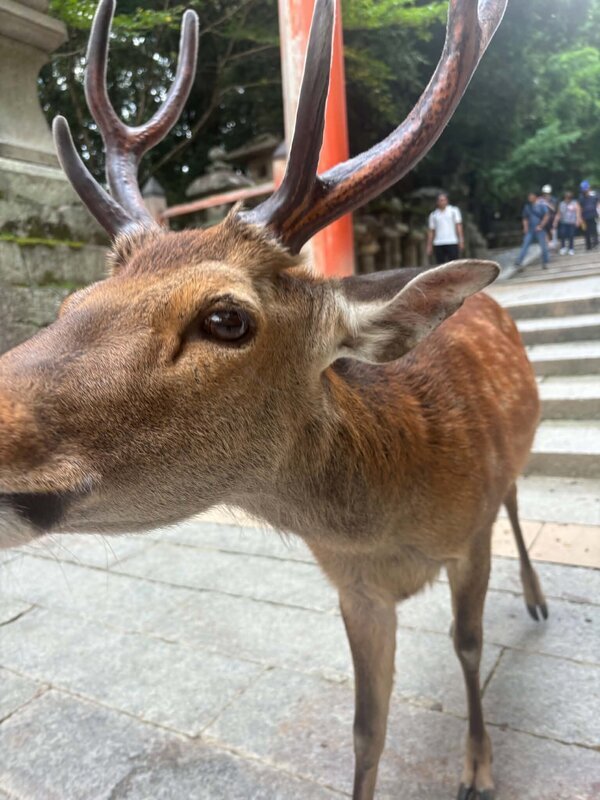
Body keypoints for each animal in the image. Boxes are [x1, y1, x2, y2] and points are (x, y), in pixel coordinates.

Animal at [0, 0, 549, 797]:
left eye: (226, 317)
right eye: (71, 302)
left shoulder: (468, 537)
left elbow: (469, 644)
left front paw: (477, 768)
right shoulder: (353, 587)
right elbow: (366, 728)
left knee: (514, 500)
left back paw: (537, 597)